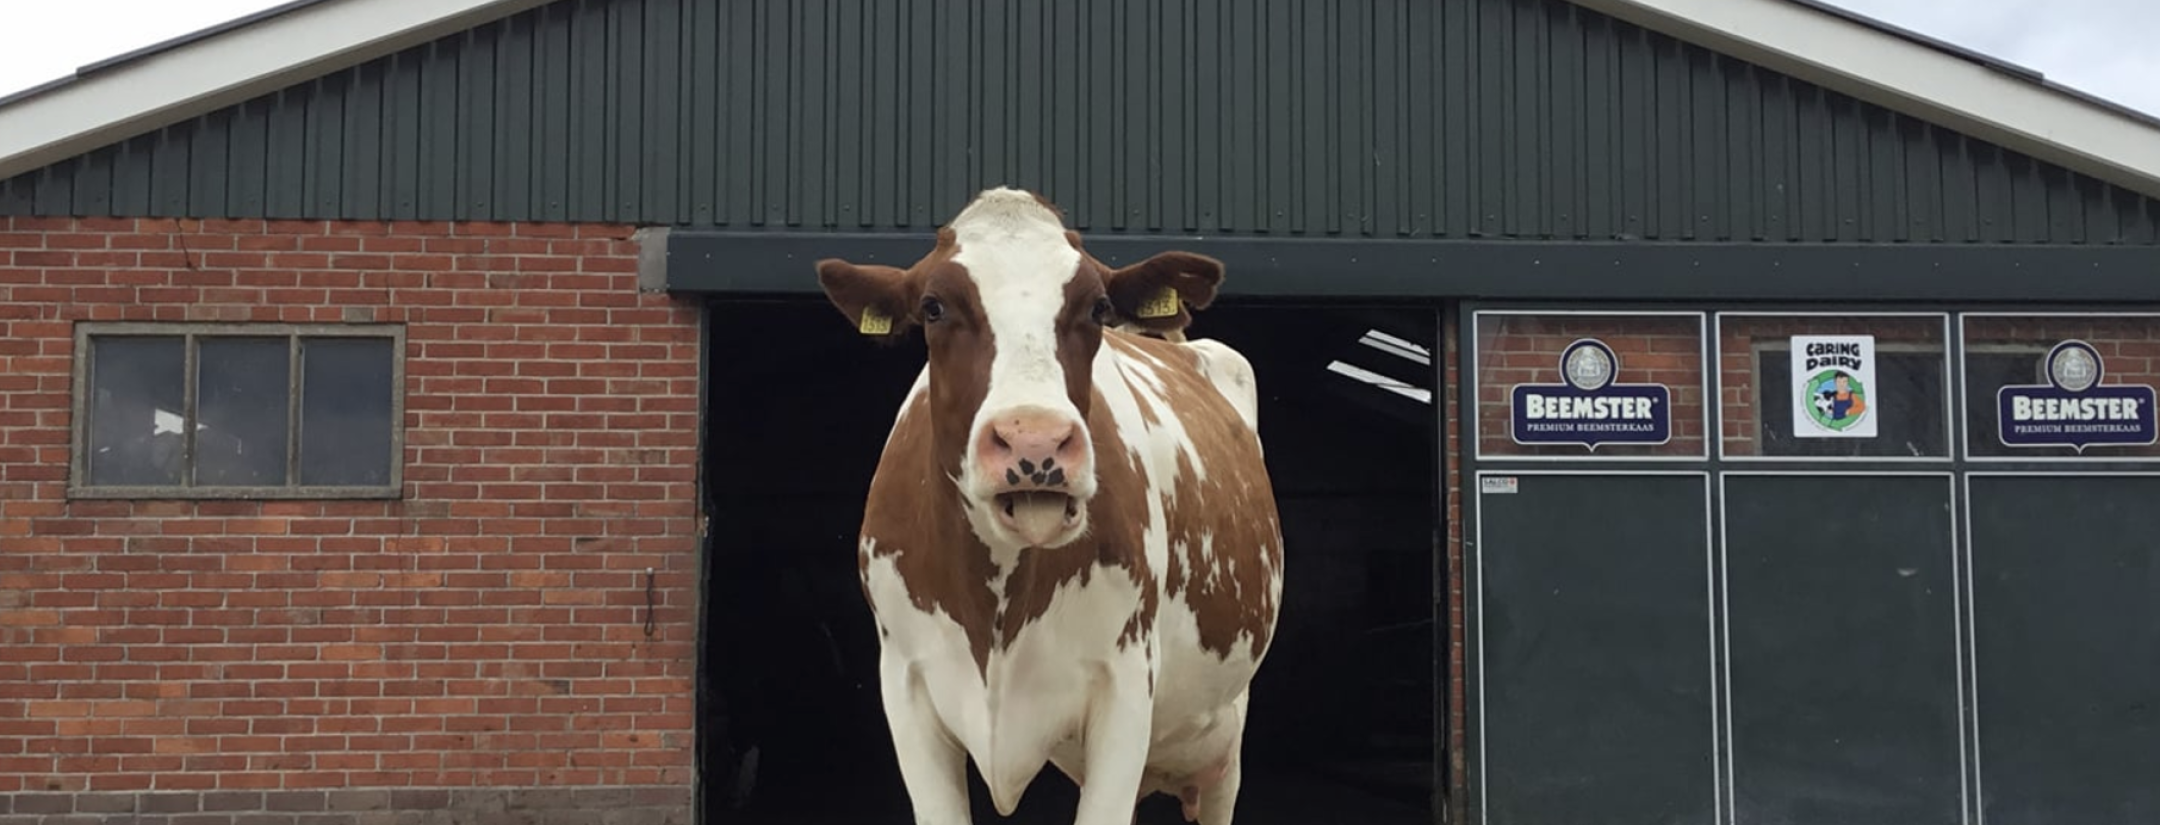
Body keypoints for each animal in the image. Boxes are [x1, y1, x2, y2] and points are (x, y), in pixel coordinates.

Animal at [813, 187, 1286, 825]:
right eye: (933, 307)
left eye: (1099, 308)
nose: (1033, 441)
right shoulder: (906, 684)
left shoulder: (1125, 686)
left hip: (1224, 739)